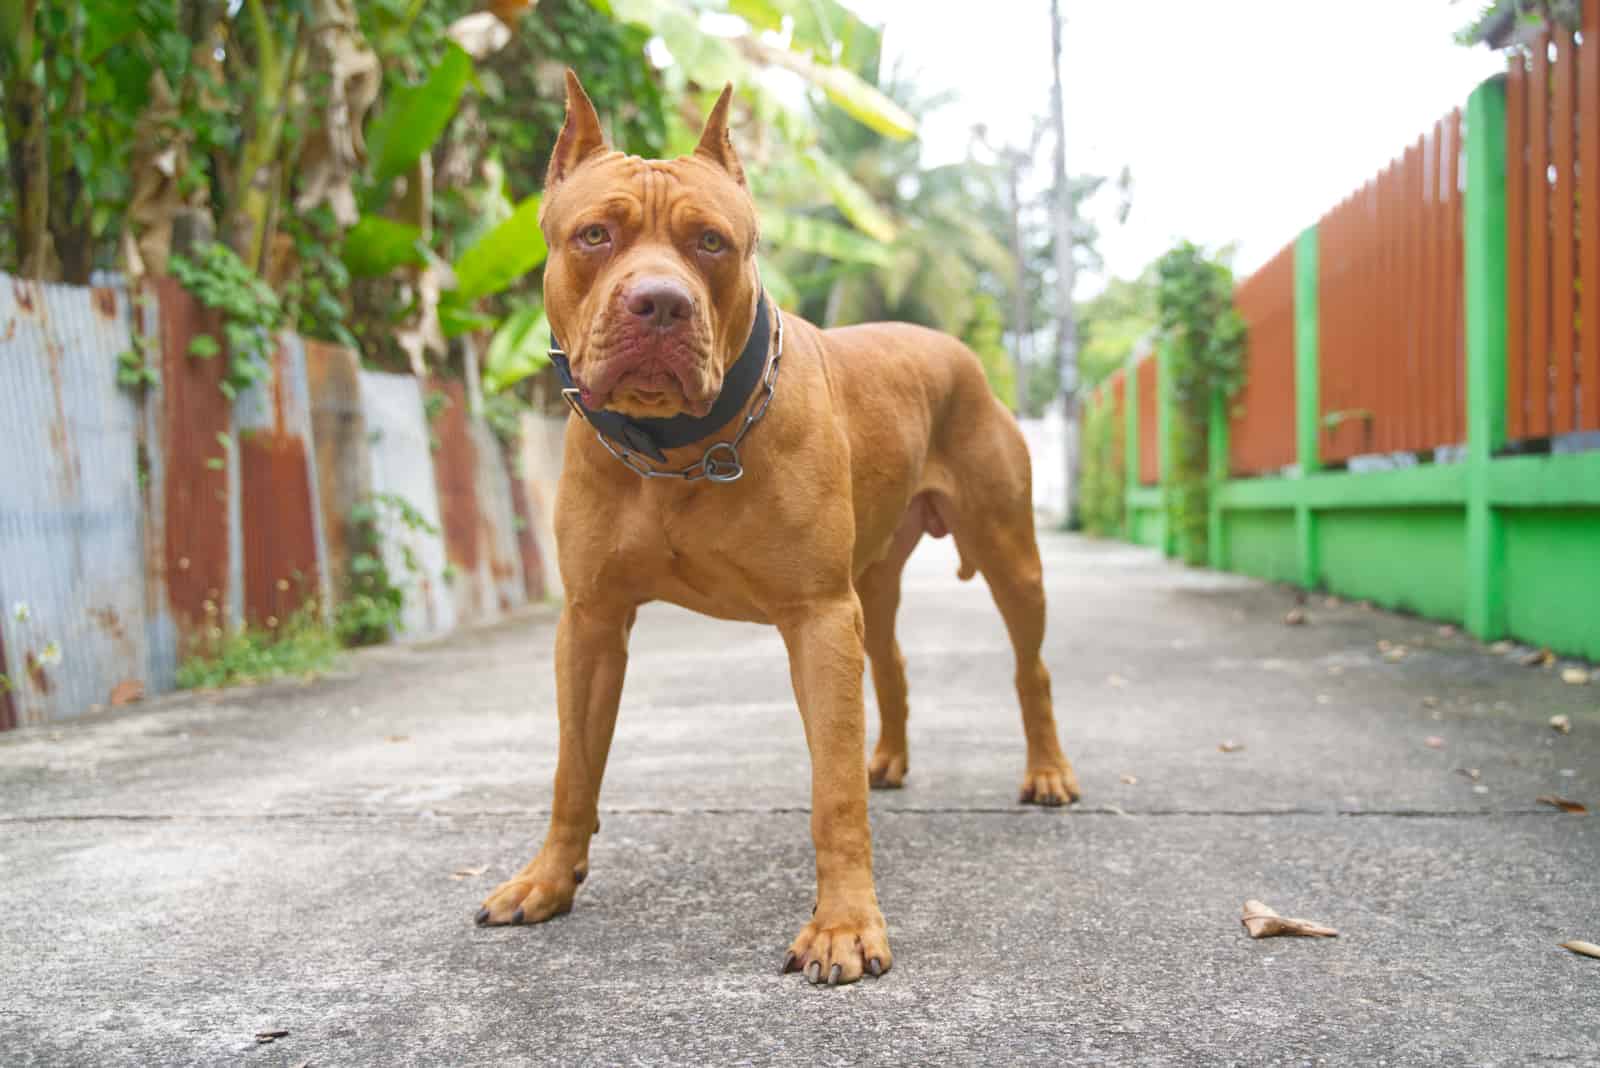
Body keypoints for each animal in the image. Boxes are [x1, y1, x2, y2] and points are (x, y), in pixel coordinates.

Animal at [470, 73, 1075, 984]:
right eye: (595, 235)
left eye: (712, 243)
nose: (659, 303)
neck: (679, 448)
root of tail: (953, 348)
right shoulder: (591, 623)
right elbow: (573, 768)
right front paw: (546, 879)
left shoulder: (817, 617)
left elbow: (832, 795)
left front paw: (844, 925)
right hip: (873, 581)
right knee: (891, 663)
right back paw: (888, 759)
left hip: (1011, 558)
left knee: (1029, 667)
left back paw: (1045, 771)